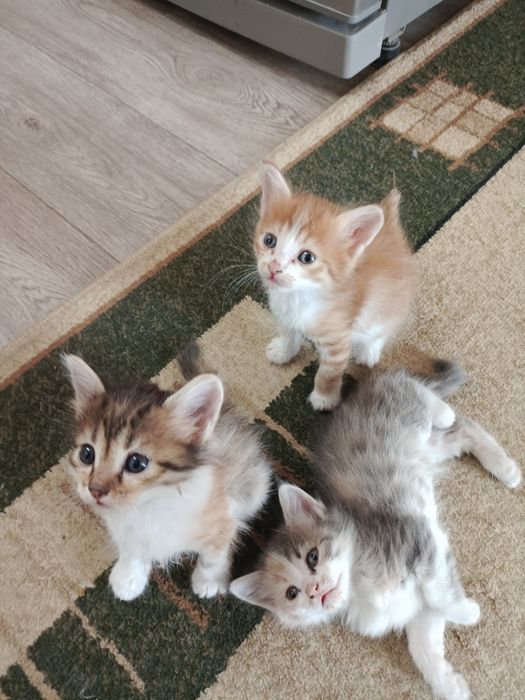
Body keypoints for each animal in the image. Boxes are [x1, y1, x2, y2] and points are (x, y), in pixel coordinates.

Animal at [64, 342, 272, 601]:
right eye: (87, 454)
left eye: (136, 463)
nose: (95, 490)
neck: (150, 504)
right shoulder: (124, 529)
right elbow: (131, 548)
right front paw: (128, 577)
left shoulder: (223, 516)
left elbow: (214, 554)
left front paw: (209, 580)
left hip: (254, 484)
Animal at [230, 360, 521, 699]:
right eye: (292, 593)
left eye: (312, 557)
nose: (314, 590)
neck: (360, 584)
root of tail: (366, 387)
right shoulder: (416, 606)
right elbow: (423, 647)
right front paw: (449, 685)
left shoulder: (418, 539)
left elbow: (441, 594)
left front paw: (466, 612)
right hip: (429, 448)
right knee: (463, 430)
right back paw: (504, 467)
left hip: (408, 411)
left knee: (427, 397)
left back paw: (454, 420)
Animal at [253, 162, 416, 410]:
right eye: (269, 240)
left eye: (306, 257)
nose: (273, 267)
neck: (299, 296)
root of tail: (389, 225)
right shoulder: (284, 315)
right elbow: (288, 333)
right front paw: (283, 351)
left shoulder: (337, 341)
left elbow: (328, 373)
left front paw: (324, 398)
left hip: (386, 304)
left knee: (387, 325)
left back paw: (370, 350)